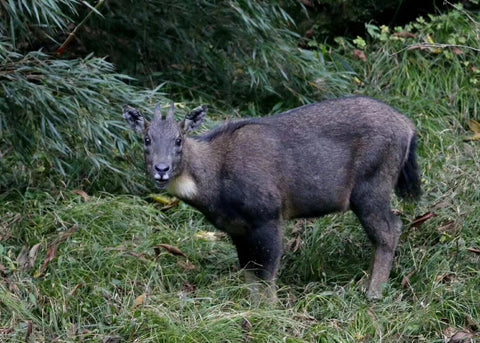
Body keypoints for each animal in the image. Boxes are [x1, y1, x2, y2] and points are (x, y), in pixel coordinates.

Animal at [124, 97, 420, 300]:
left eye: (178, 139)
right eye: (147, 139)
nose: (161, 169)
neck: (215, 178)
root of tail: (409, 127)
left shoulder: (269, 216)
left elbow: (267, 276)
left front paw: (268, 315)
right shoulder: (238, 229)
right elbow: (250, 275)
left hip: (371, 187)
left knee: (389, 231)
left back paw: (373, 293)